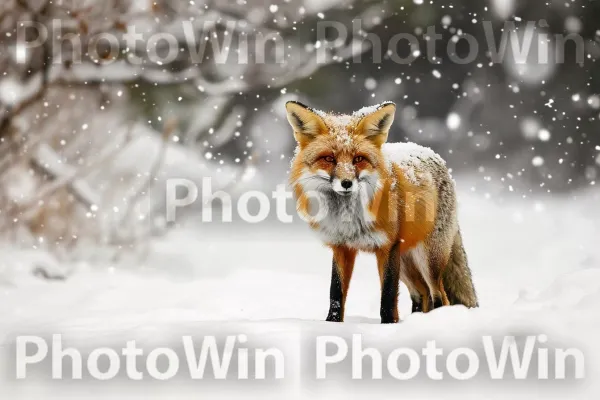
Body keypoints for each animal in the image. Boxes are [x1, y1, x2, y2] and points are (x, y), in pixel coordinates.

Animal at [286, 101, 478, 324]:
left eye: (358, 159)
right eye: (329, 158)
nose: (346, 183)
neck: (349, 219)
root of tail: (436, 157)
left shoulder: (388, 247)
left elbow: (387, 297)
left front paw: (387, 326)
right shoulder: (342, 247)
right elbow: (336, 294)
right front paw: (331, 325)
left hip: (427, 259)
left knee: (439, 295)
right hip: (406, 263)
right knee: (421, 294)